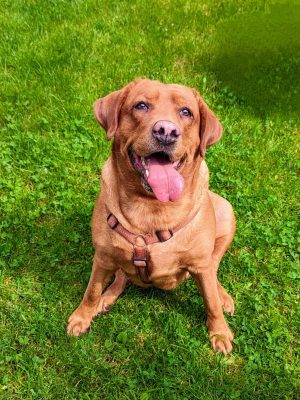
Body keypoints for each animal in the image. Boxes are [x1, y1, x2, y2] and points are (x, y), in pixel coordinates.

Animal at [67, 79, 237, 354]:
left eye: (186, 112)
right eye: (141, 105)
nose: (166, 131)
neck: (151, 208)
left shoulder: (200, 264)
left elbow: (210, 299)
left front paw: (219, 332)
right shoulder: (102, 256)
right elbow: (91, 290)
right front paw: (83, 316)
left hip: (226, 211)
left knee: (214, 267)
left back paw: (224, 297)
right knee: (121, 276)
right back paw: (107, 297)